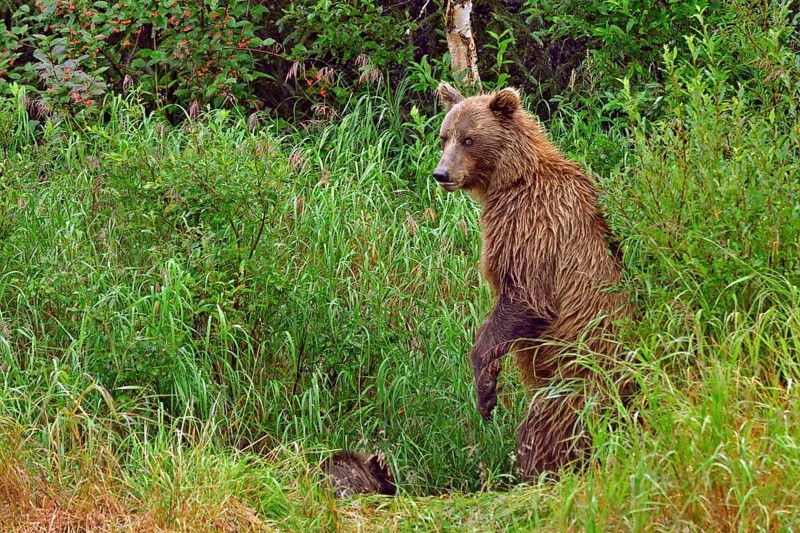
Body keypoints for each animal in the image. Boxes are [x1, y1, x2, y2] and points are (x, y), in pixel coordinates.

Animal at [433, 82, 630, 478]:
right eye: (444, 136)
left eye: (469, 139)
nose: (442, 173)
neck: (511, 179)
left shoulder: (532, 226)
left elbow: (524, 298)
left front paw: (485, 392)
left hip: (576, 377)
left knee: (546, 425)